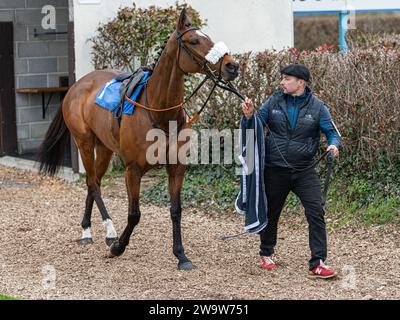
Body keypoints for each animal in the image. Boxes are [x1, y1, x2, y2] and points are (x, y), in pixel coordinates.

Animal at [36, 8, 238, 270]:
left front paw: (181, 255)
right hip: (84, 142)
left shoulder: (177, 168)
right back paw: (107, 231)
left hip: (104, 148)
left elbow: (176, 210)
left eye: (209, 37)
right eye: (194, 41)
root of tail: (77, 85)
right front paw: (118, 247)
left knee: (94, 182)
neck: (159, 113)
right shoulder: (132, 170)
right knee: (92, 183)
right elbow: (134, 214)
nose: (232, 66)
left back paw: (88, 231)